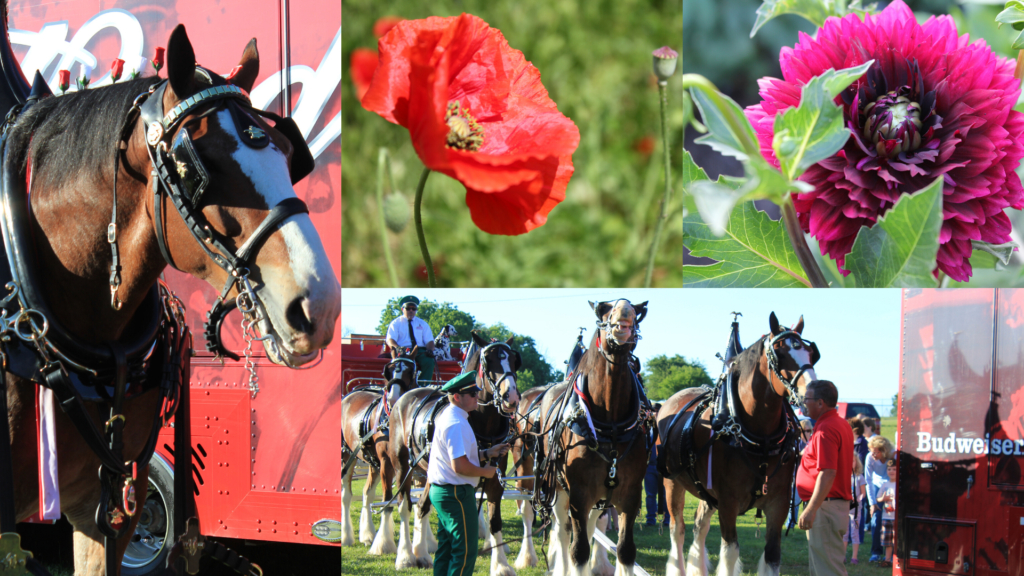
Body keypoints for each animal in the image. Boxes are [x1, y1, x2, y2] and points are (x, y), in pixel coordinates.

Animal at [342, 342, 421, 549]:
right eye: (389, 370)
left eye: (410, 370)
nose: (393, 398)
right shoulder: (387, 462)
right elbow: (387, 500)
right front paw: (385, 542)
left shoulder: (407, 466)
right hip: (347, 456)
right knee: (346, 495)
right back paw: (346, 536)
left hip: (372, 462)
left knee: (367, 493)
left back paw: (367, 534)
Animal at [532, 297, 651, 573]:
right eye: (602, 311)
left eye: (636, 312)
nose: (624, 312)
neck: (612, 425)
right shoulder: (578, 493)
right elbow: (579, 551)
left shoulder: (630, 495)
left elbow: (626, 551)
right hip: (559, 489)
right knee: (564, 532)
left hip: (601, 498)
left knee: (587, 527)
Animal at [659, 313, 819, 573]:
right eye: (780, 353)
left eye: (811, 352)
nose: (812, 394)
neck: (760, 439)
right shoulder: (728, 503)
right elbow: (730, 553)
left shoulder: (778, 504)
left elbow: (772, 555)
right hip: (672, 483)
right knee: (677, 530)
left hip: (706, 492)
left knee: (700, 527)